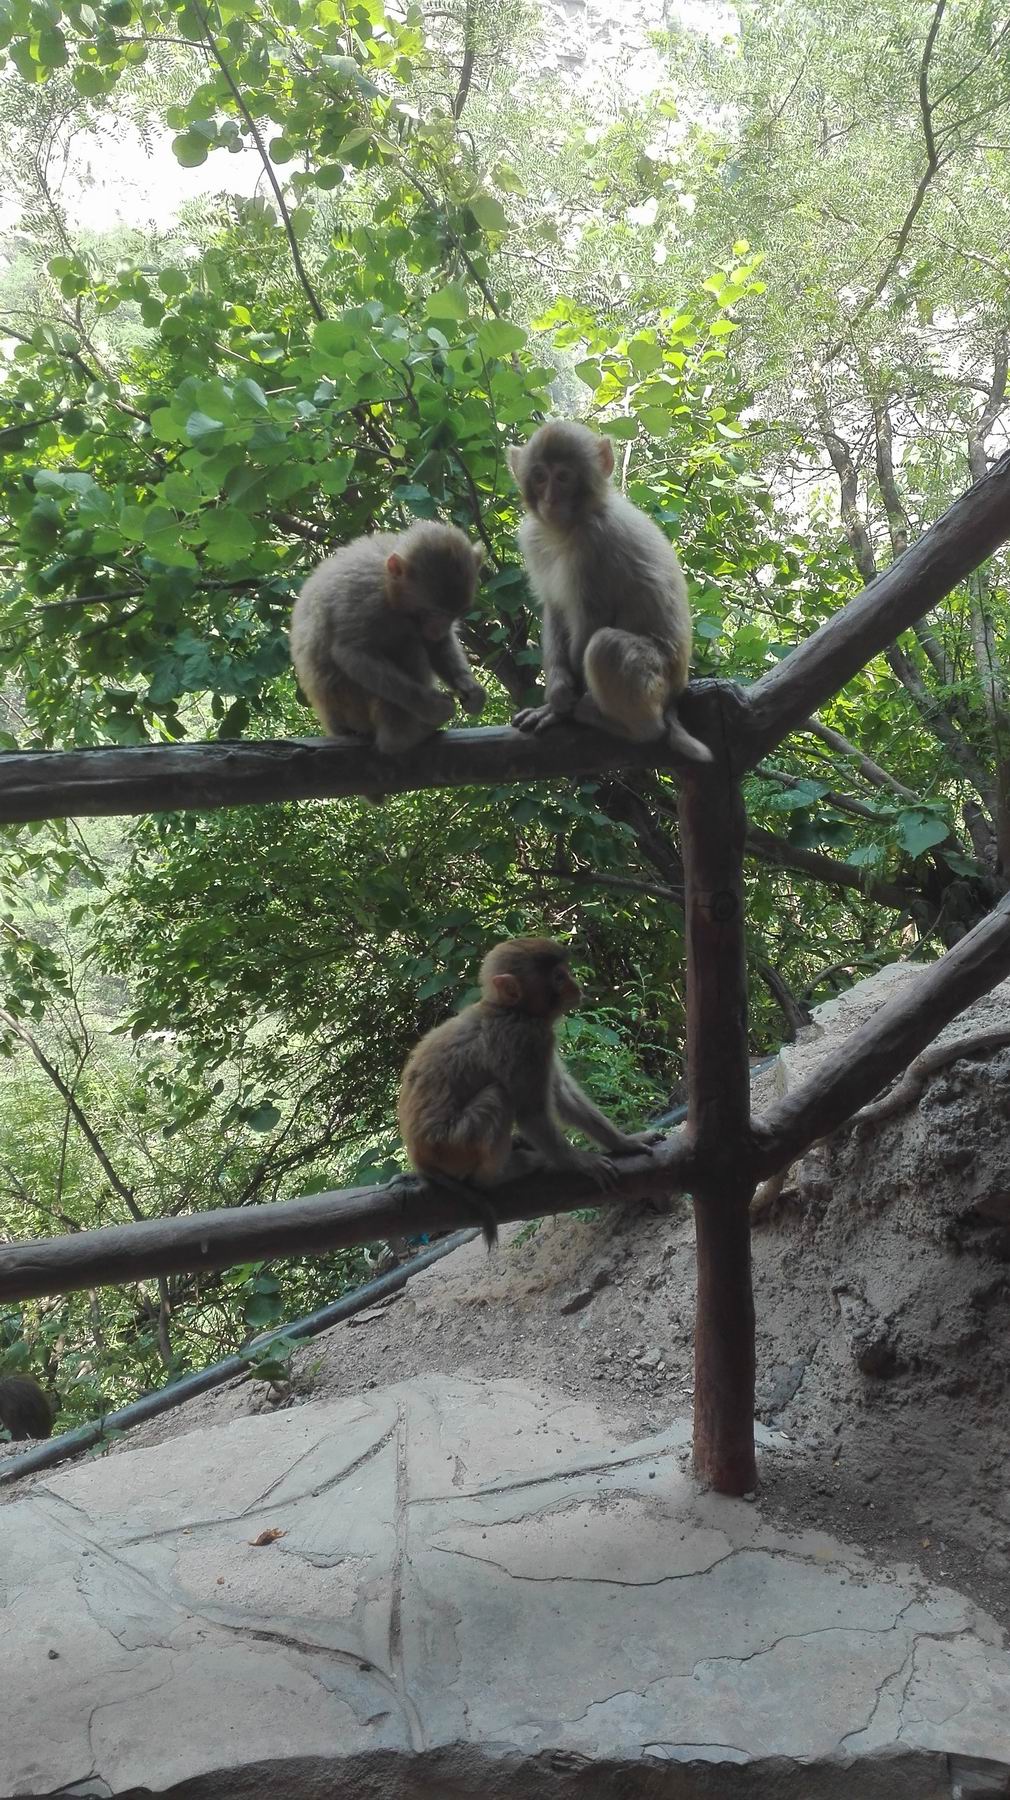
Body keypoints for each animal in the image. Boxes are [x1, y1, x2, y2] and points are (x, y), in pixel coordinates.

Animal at [288, 518, 489, 756]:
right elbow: (352, 654)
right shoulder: (366, 596)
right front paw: (433, 707)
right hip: (352, 708)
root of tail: (332, 725)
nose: (437, 628)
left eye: (454, 614)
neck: (389, 588)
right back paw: (399, 738)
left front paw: (470, 689)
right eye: (431, 612)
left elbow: (436, 644)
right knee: (407, 646)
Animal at [397, 936, 658, 1245]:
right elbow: (531, 1113)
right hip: (453, 1146)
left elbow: (563, 1097)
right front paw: (581, 1162)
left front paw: (624, 1142)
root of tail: (420, 1159)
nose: (576, 986)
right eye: (558, 977)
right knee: (498, 1096)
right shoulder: (528, 1039)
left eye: (565, 972)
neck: (510, 1010)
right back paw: (497, 1175)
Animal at [507, 417, 712, 763]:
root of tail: (676, 692)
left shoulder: (596, 544)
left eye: (564, 477)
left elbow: (591, 620)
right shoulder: (532, 539)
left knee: (606, 645)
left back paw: (628, 725)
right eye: (539, 477)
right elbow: (555, 608)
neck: (567, 529)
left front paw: (556, 711)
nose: (550, 500)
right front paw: (557, 691)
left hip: (656, 682)